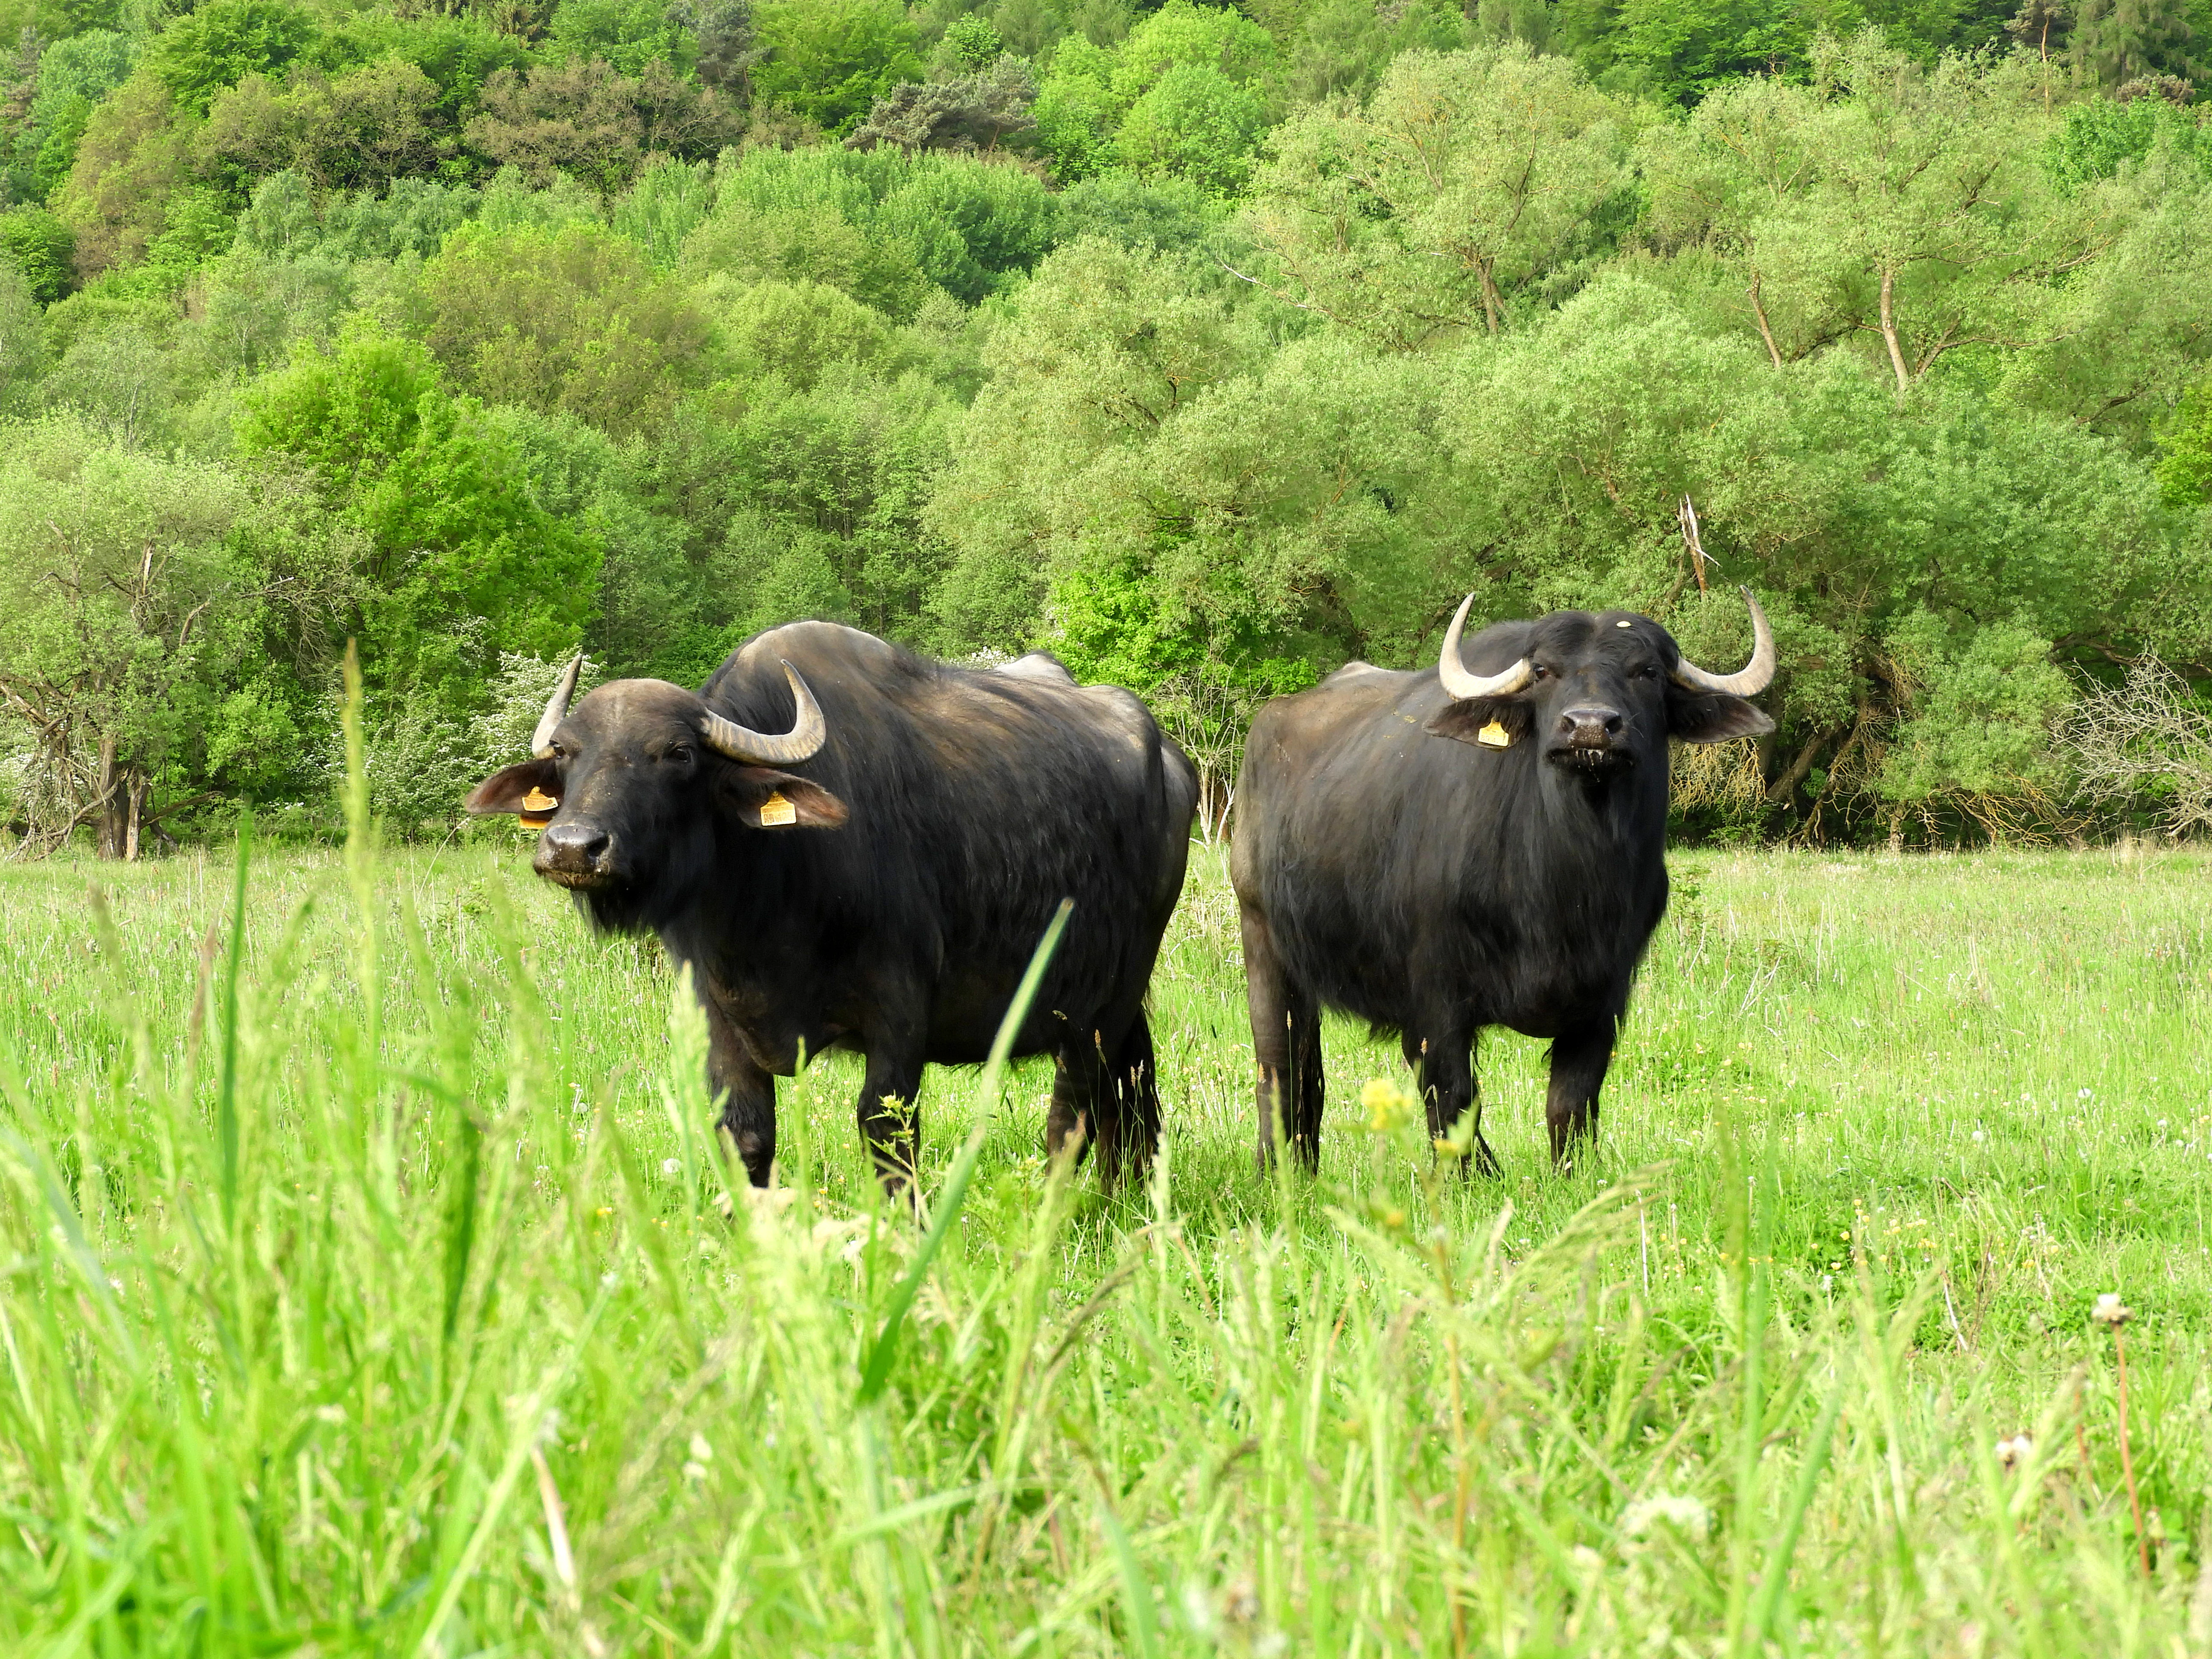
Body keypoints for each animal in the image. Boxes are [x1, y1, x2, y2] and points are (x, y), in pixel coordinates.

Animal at [468, 623, 1197, 1192]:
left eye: (676, 754)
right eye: (565, 753)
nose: (573, 847)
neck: (769, 902)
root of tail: (1170, 761)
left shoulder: (900, 1013)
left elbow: (886, 1133)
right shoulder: (715, 1013)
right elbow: (746, 1136)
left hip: (1099, 1004)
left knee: (1074, 1115)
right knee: (1129, 1093)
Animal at [1229, 590, 1778, 1173]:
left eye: (1647, 671)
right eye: (1543, 672)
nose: (1589, 726)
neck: (1560, 889)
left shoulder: (1603, 999)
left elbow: (1570, 1106)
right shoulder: (1436, 1004)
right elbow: (1453, 1102)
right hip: (1263, 941)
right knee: (1279, 1066)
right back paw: (1274, 1166)